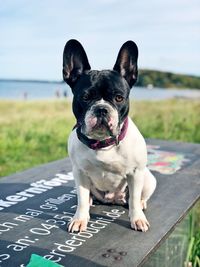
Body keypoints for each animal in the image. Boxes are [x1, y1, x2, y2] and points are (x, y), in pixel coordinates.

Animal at [62, 39, 156, 232]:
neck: (103, 143)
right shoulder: (79, 173)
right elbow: (81, 200)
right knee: (87, 197)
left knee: (138, 197)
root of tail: (112, 200)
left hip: (149, 179)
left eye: (119, 98)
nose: (101, 109)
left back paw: (141, 205)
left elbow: (134, 199)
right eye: (85, 97)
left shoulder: (136, 173)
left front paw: (137, 218)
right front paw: (80, 219)